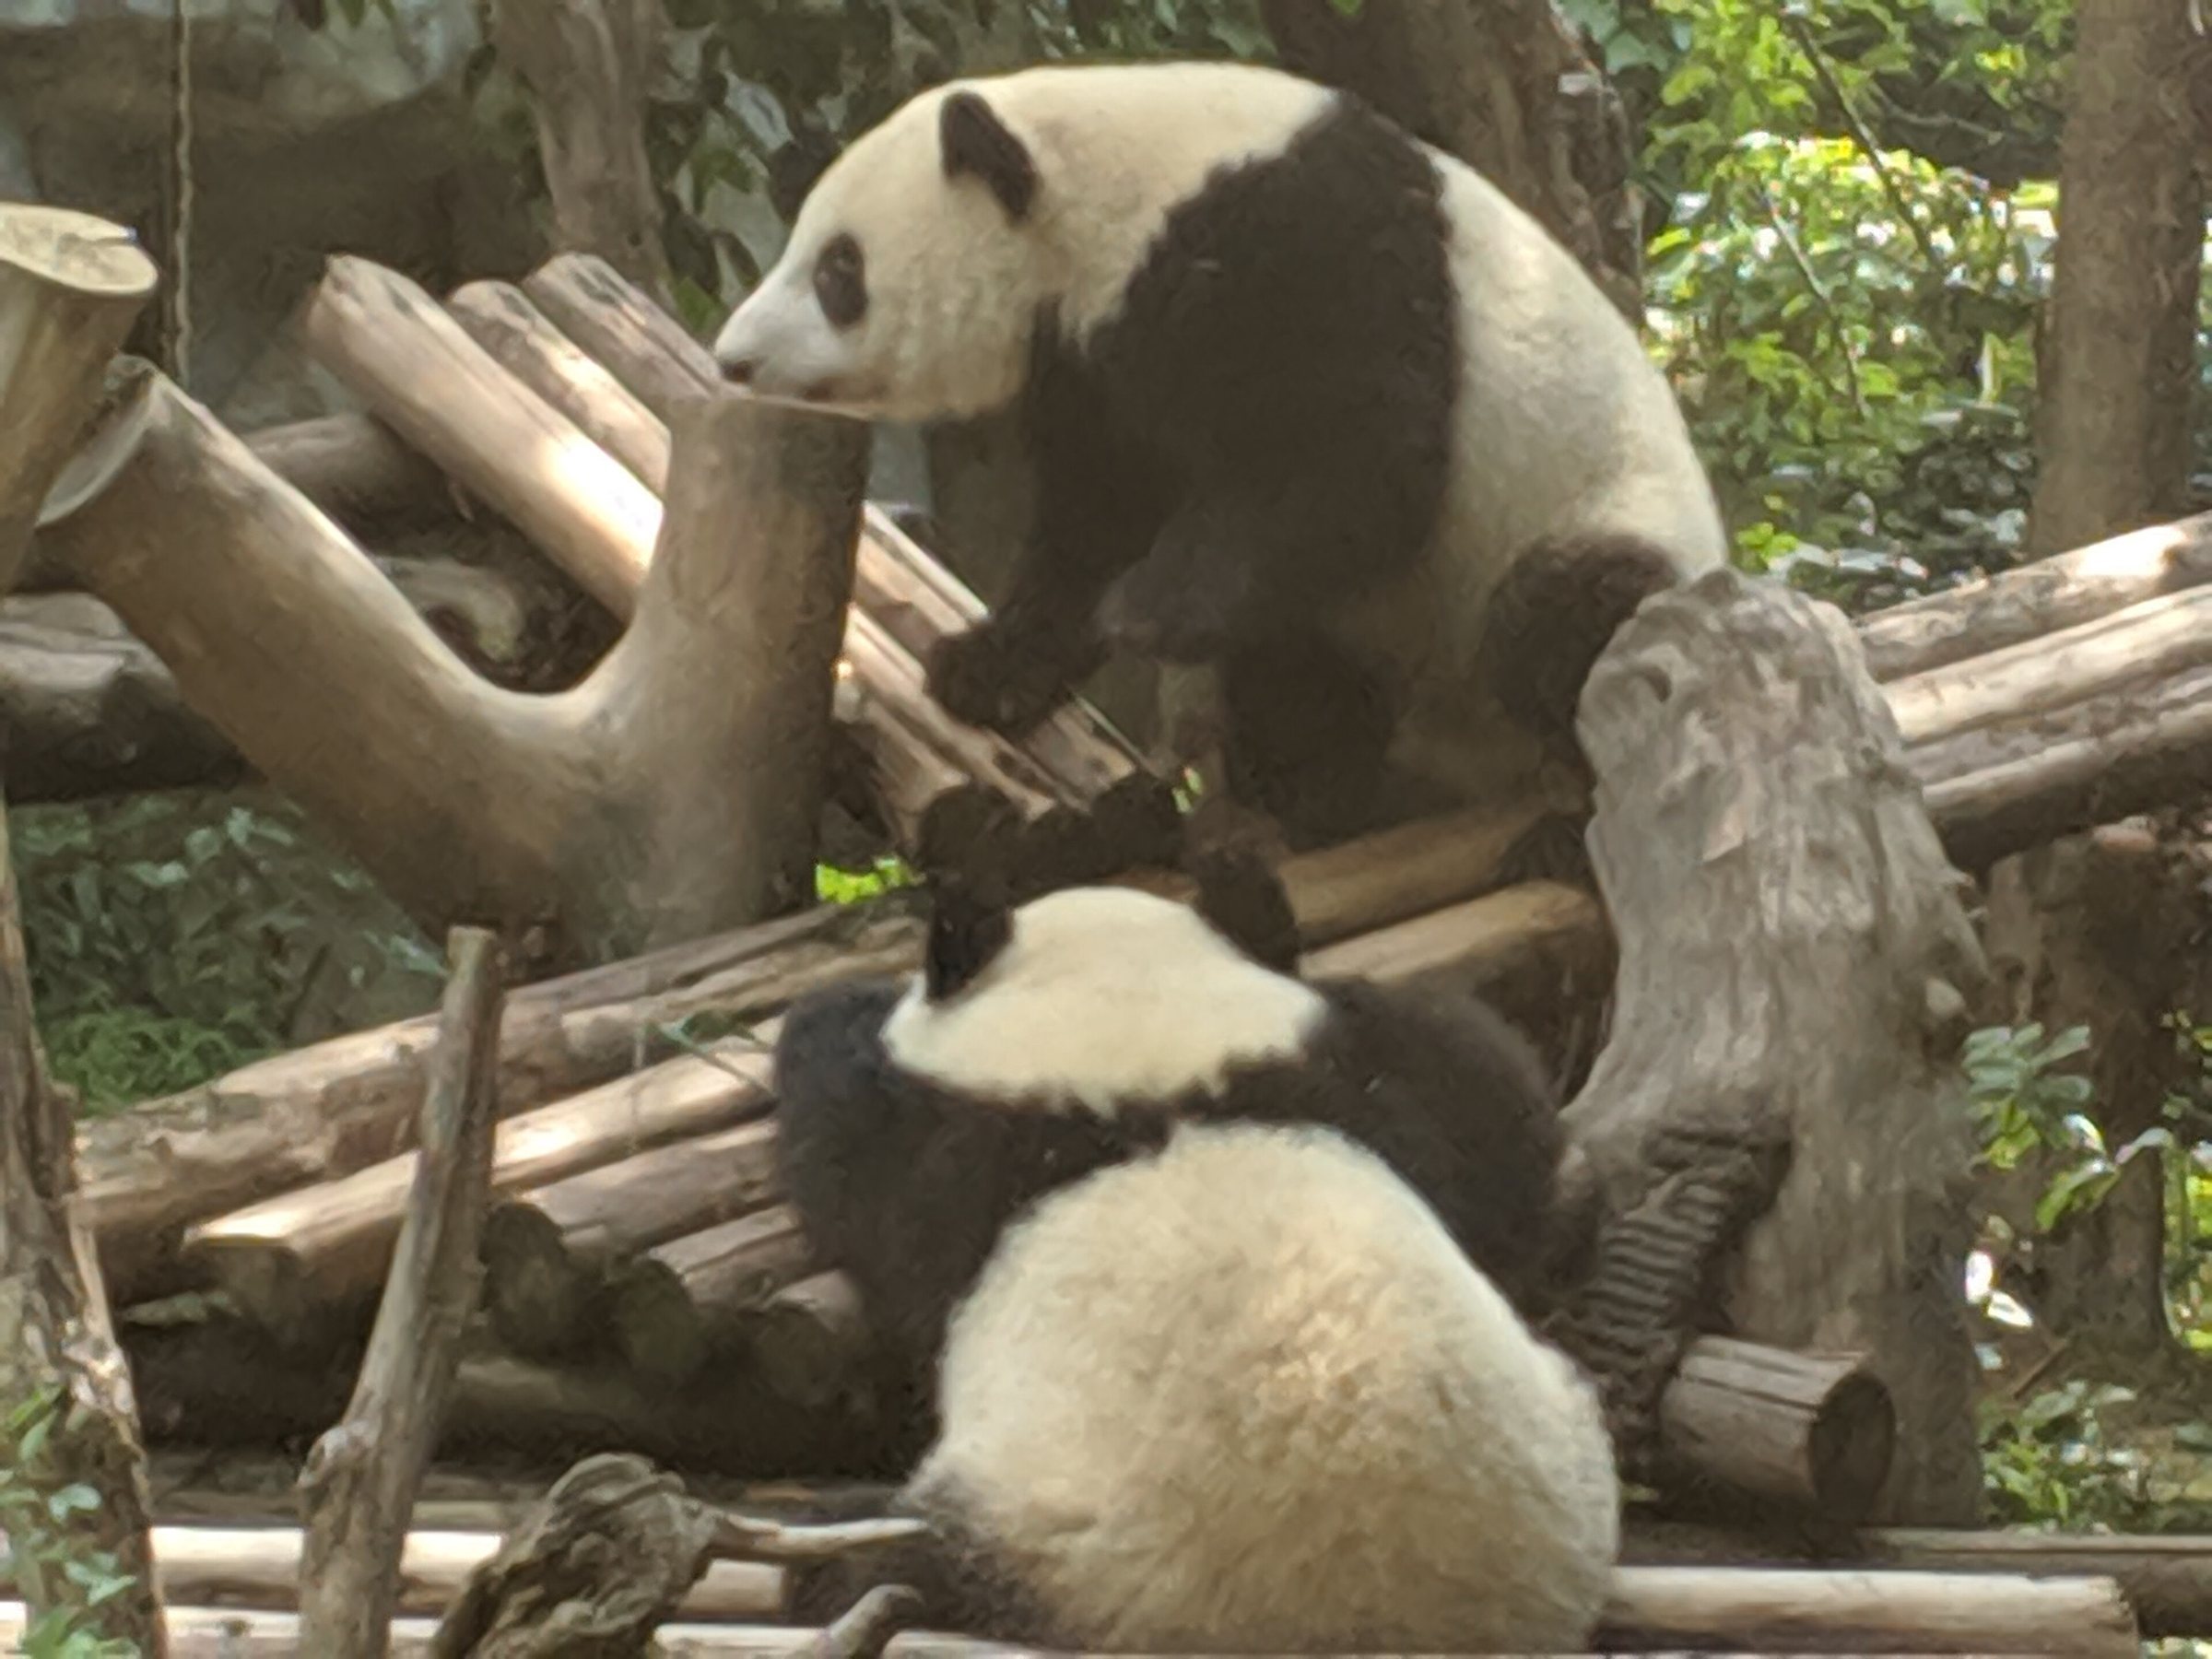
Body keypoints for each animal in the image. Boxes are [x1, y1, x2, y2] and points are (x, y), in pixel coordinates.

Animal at [711, 59, 1728, 845]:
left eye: (839, 270)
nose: (734, 359)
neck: (1115, 194)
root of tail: (1471, 765)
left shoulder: (1308, 242)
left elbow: (1356, 460)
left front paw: (1148, 611)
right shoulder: (1095, 355)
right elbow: (1098, 513)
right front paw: (983, 670)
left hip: (1605, 526)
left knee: (1565, 615)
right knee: (1300, 669)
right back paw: (1317, 784)